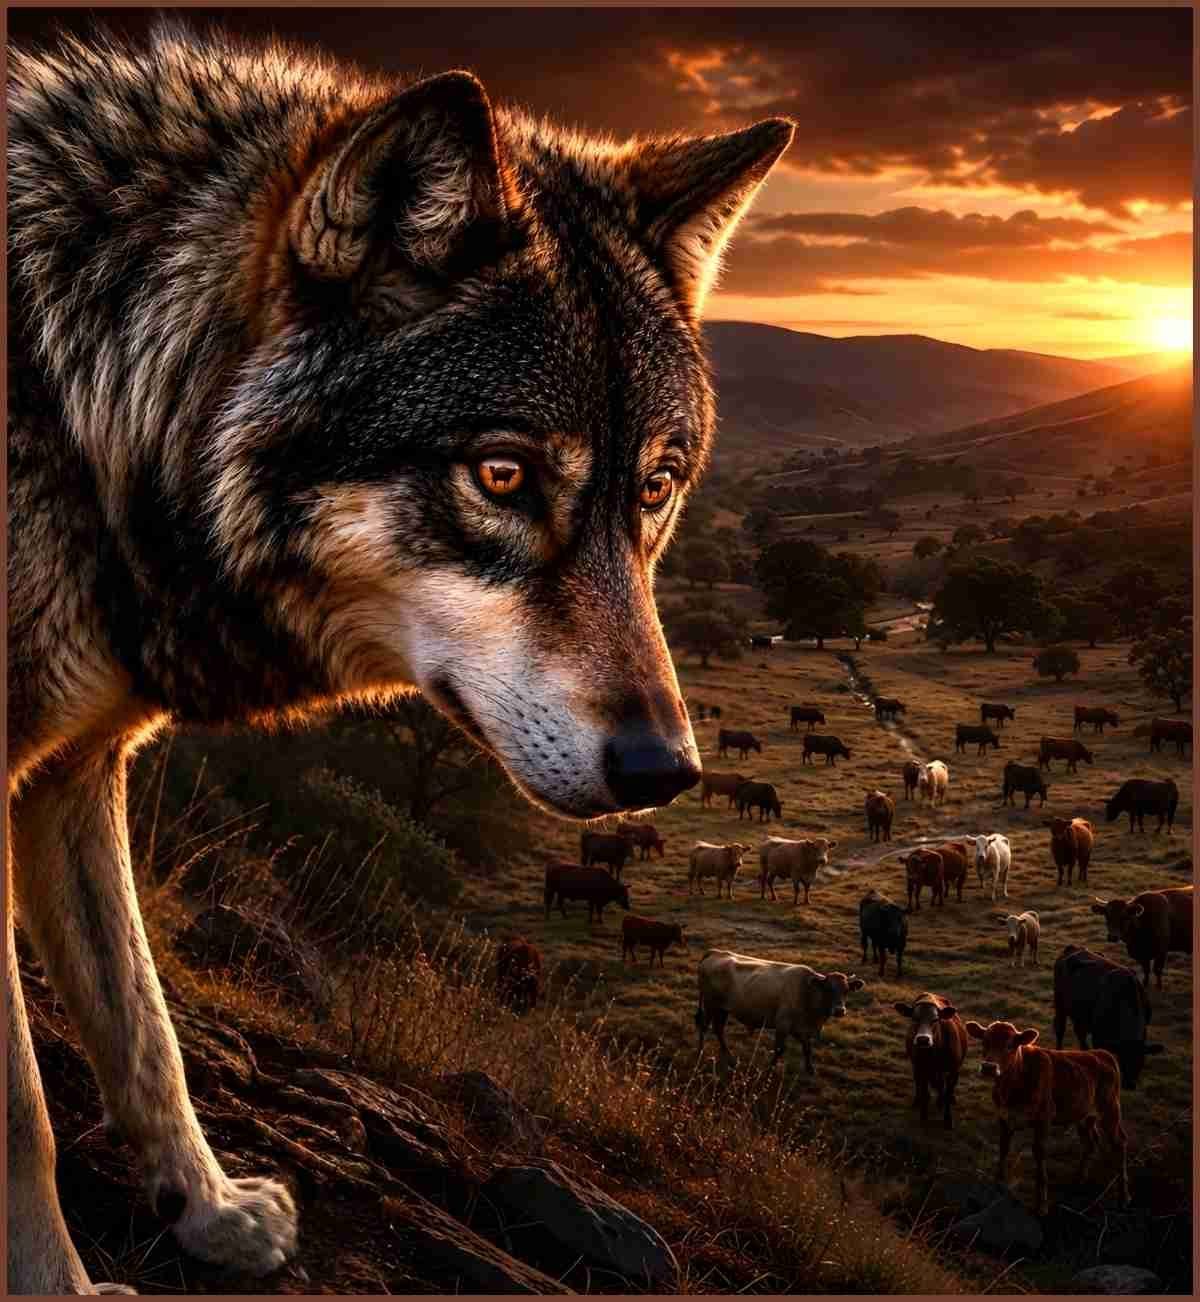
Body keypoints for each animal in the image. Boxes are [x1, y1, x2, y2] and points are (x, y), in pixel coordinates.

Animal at [6, 21, 791, 1294]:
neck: (84, 399)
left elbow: (143, 1027)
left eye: (655, 489)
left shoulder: (74, 771)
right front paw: (56, 1283)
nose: (664, 771)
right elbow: (24, 1110)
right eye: (504, 476)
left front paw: (209, 1213)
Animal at [695, 949, 865, 1073]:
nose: (840, 1010)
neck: (807, 992)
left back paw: (729, 1057)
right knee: (705, 1027)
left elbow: (807, 1048)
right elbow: (779, 1049)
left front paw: (810, 1069)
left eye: (846, 991)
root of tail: (716, 952)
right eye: (828, 989)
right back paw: (701, 1051)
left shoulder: (803, 1029)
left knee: (718, 1029)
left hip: (722, 1009)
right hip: (711, 1005)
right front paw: (770, 1069)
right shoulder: (783, 1024)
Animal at [894, 994, 968, 1128]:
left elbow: (947, 1092)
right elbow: (924, 1091)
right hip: (917, 1067)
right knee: (920, 1084)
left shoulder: (953, 1070)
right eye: (914, 1018)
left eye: (935, 1019)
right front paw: (923, 1117)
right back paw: (918, 1100)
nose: (923, 1039)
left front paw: (948, 1119)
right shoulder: (921, 1068)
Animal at [965, 1019, 1130, 1216]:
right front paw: (997, 1184)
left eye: (1011, 1045)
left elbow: (1039, 1154)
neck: (1011, 1088)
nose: (989, 1067)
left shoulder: (1043, 1119)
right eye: (985, 1041)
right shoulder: (1004, 1117)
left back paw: (1123, 1198)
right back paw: (1079, 1179)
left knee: (1119, 1143)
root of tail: (1103, 1053)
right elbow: (1003, 1149)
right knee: (1090, 1142)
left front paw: (1042, 1205)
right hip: (1083, 1114)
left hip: (1110, 1109)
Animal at [1053, 946, 1164, 1089]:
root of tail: (1073, 948)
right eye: (1122, 1059)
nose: (1130, 1085)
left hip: (1080, 1014)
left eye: (1141, 1060)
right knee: (1060, 1029)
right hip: (1060, 1003)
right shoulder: (1099, 1037)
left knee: (1080, 1033)